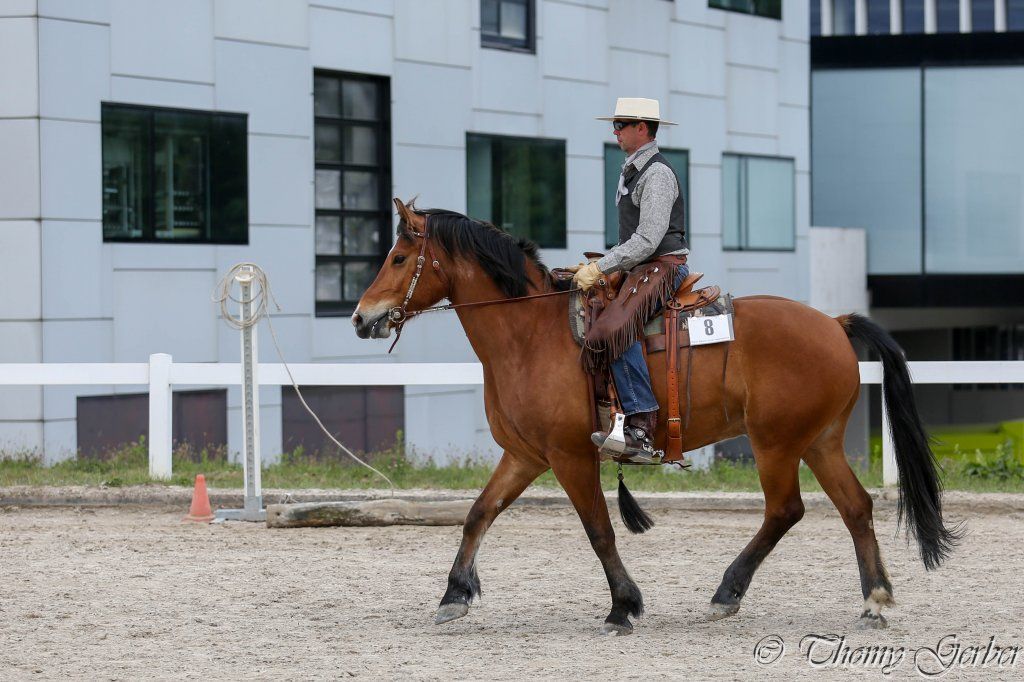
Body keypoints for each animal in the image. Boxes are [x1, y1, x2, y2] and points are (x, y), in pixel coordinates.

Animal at [351, 198, 962, 635]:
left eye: (399, 258)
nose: (361, 317)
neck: (529, 335)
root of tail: (833, 324)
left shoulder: (570, 457)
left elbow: (599, 530)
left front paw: (624, 605)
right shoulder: (524, 455)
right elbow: (479, 513)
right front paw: (454, 594)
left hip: (776, 444)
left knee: (785, 510)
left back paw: (726, 594)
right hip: (820, 441)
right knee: (856, 508)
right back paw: (874, 599)